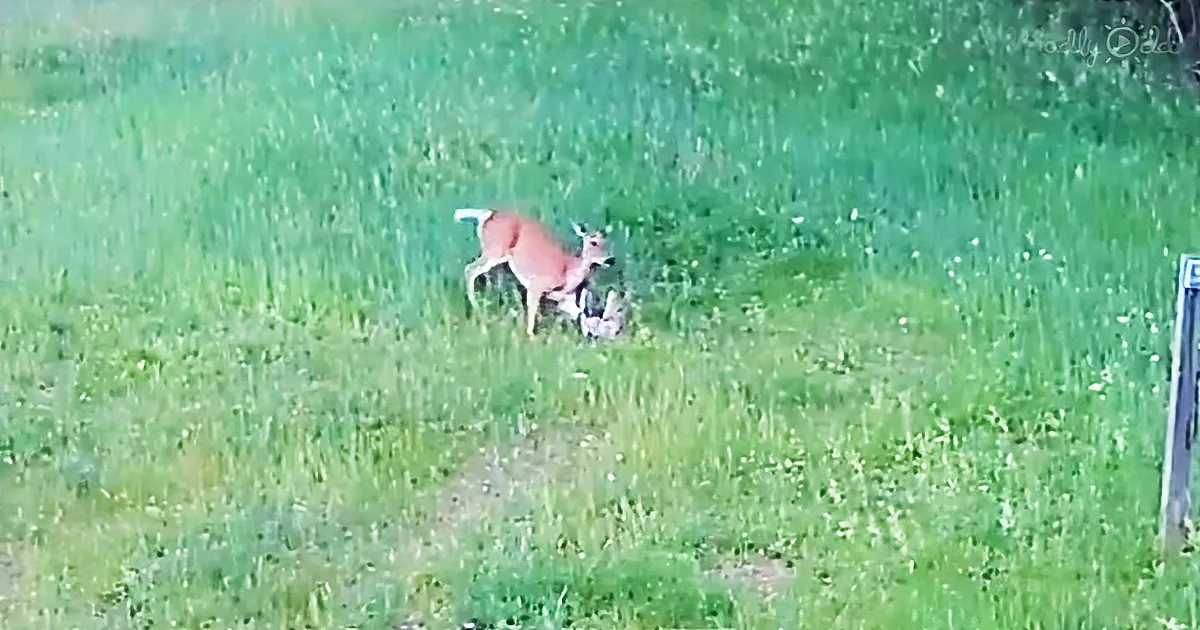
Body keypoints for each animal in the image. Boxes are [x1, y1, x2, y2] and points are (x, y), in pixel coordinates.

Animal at [453, 207, 614, 337]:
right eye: (593, 242)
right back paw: (478, 313)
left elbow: (581, 314)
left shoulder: (561, 298)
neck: (567, 272)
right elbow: (531, 313)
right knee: (470, 270)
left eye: (608, 243)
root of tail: (488, 213)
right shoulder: (536, 285)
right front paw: (530, 336)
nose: (611, 259)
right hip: (494, 251)